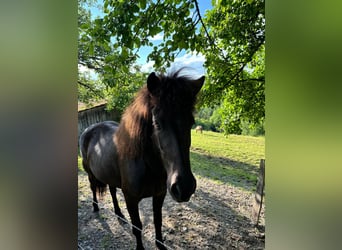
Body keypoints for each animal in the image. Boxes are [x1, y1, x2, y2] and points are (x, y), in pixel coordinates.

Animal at [79, 70, 204, 250]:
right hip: (90, 174)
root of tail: (89, 129)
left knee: (112, 191)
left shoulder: (159, 195)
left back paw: (119, 214)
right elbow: (137, 227)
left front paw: (160, 245)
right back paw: (96, 208)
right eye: (157, 122)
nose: (184, 187)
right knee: (93, 189)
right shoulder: (131, 199)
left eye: (191, 122)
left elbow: (158, 221)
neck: (147, 165)